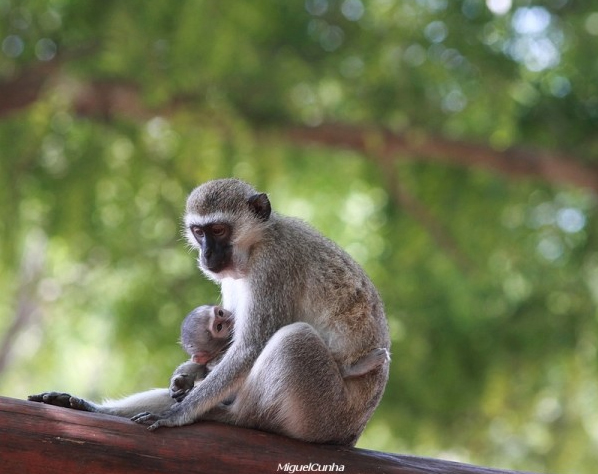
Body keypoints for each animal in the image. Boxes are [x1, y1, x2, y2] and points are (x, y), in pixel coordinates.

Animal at [30, 179, 392, 448]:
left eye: (219, 230)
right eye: (199, 232)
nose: (206, 255)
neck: (256, 244)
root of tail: (350, 434)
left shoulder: (274, 266)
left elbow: (249, 348)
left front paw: (179, 414)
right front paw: (183, 378)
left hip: (324, 413)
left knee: (294, 340)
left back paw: (232, 416)